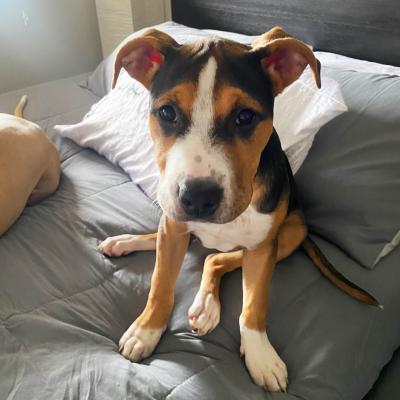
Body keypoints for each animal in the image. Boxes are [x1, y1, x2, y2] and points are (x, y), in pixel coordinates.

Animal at [97, 26, 378, 392]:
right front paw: (146, 330)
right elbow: (160, 283)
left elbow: (254, 304)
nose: (198, 198)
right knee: (174, 242)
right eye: (167, 113)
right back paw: (124, 241)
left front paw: (260, 354)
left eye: (245, 117)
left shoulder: (262, 247)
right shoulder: (174, 225)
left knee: (215, 259)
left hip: (291, 232)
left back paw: (205, 307)